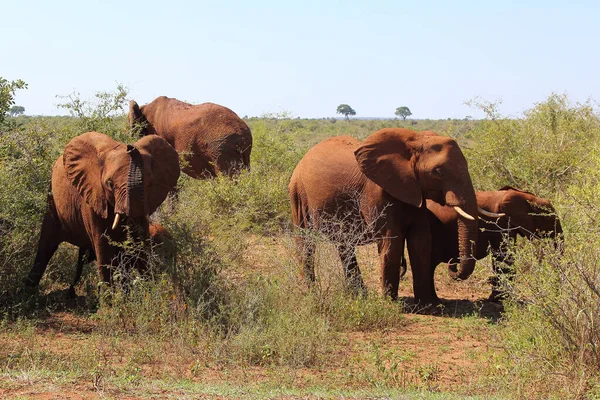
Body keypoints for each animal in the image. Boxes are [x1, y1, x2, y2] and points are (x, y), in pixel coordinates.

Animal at [24, 131, 178, 290]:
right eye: (109, 184)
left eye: (149, 184)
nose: (131, 147)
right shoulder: (92, 198)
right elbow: (104, 250)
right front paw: (112, 296)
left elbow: (139, 247)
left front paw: (146, 290)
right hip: (53, 202)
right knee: (46, 245)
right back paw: (29, 288)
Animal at [288, 130, 480, 304]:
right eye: (438, 172)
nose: (453, 263)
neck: (414, 139)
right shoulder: (376, 192)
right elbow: (391, 242)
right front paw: (390, 304)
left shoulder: (416, 192)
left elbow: (421, 242)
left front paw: (428, 306)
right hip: (298, 192)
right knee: (306, 241)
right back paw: (310, 293)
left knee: (344, 245)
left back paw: (360, 296)